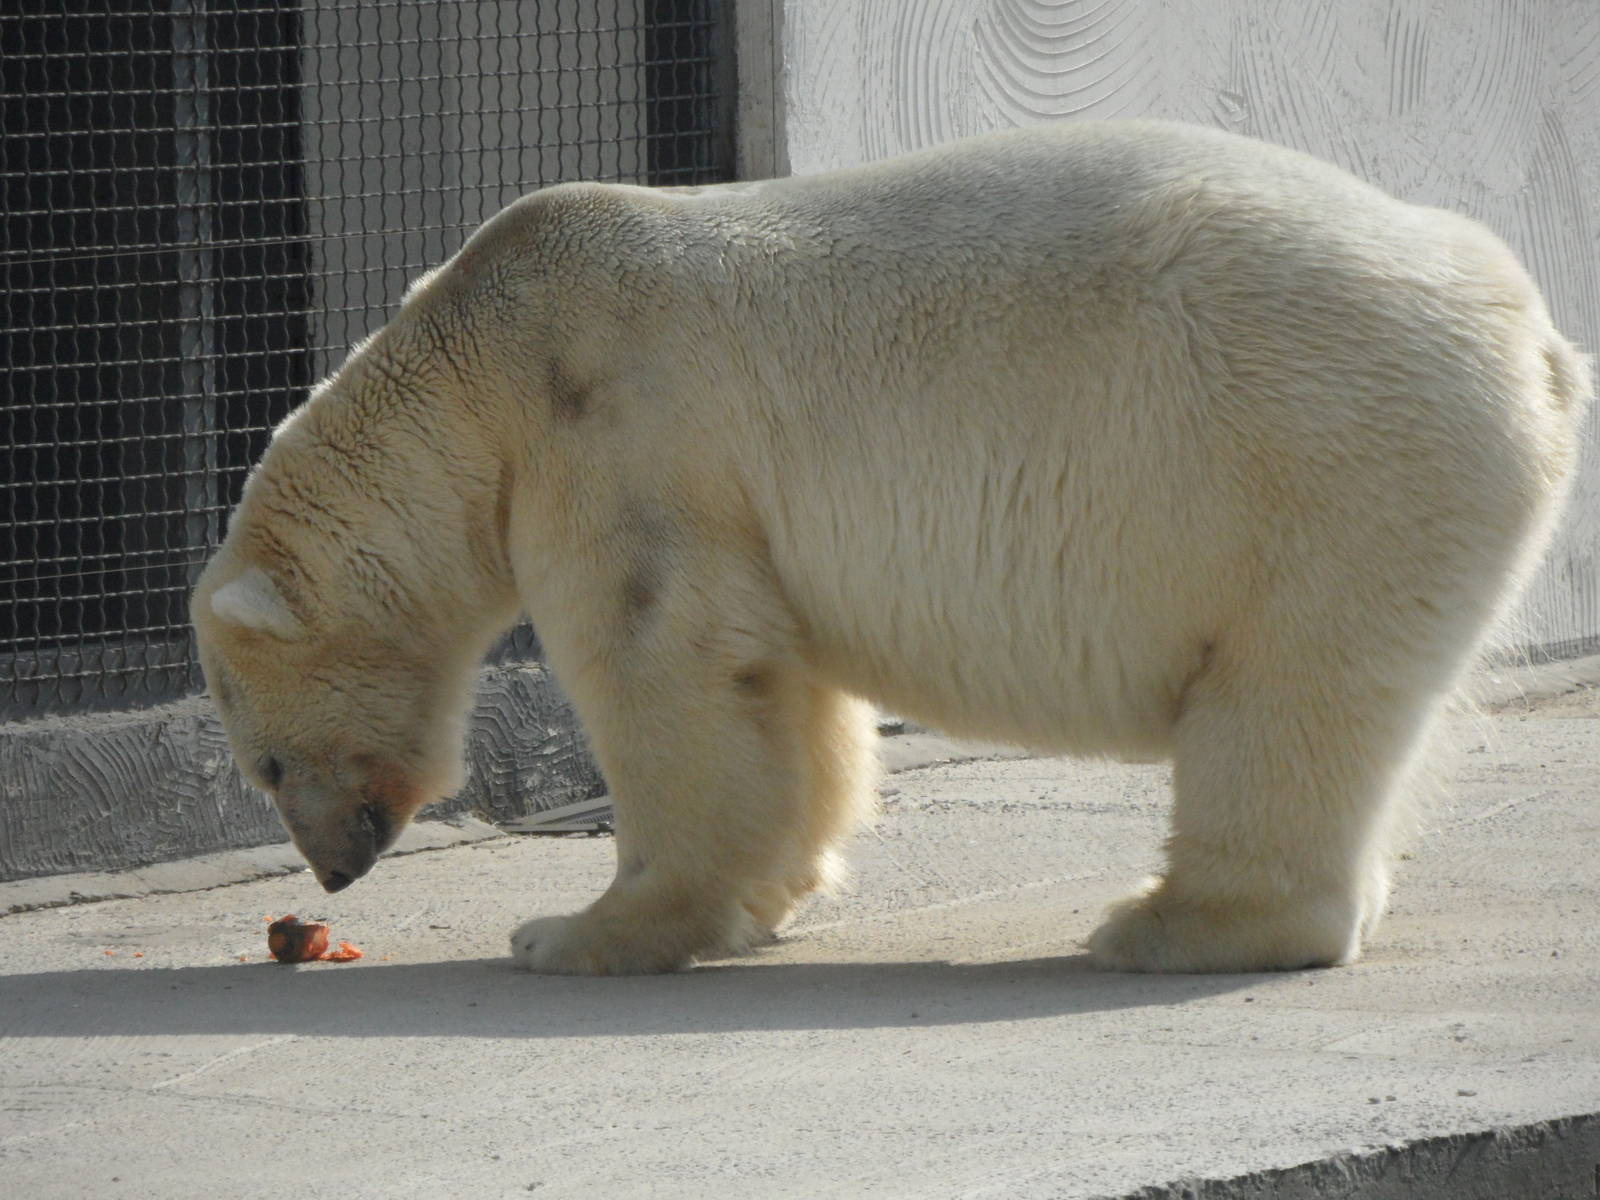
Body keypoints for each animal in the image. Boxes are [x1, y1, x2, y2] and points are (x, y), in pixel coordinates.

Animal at [192, 119, 1591, 975]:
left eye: (266, 764)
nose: (331, 874)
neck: (482, 357)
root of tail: (1534, 338)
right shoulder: (721, 498)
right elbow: (780, 686)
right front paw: (766, 899)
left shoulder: (616, 429)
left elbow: (661, 660)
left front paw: (579, 930)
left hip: (1322, 459)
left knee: (1286, 696)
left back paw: (1171, 921)